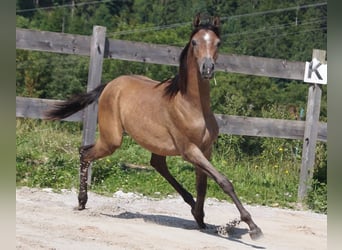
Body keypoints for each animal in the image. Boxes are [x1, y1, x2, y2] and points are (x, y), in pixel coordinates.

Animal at [45, 14, 264, 240]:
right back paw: (81, 202)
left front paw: (200, 218)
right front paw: (253, 227)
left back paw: (192, 206)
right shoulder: (190, 150)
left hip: (152, 143)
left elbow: (203, 185)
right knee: (85, 153)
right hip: (112, 139)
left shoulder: (205, 149)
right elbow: (223, 181)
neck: (192, 106)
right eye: (195, 42)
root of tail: (110, 84)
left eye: (217, 42)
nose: (207, 69)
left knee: (156, 164)